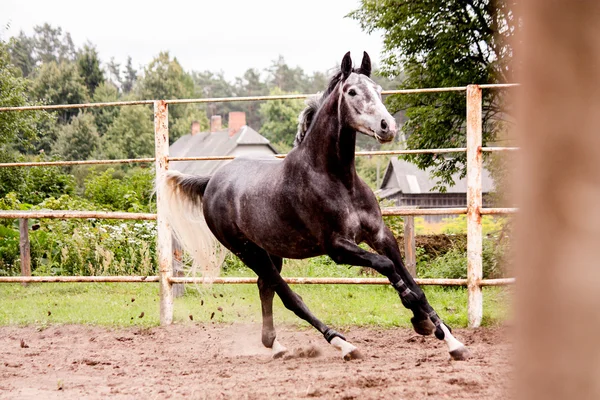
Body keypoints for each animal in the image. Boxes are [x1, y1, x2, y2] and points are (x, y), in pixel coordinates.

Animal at [158, 51, 468, 360]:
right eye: (351, 91)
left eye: (378, 90)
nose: (387, 126)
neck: (337, 179)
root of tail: (212, 181)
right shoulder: (337, 247)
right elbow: (388, 267)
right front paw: (418, 317)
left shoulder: (380, 236)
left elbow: (412, 281)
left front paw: (448, 338)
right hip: (248, 252)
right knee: (288, 296)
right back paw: (342, 343)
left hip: (271, 251)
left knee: (265, 287)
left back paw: (276, 345)